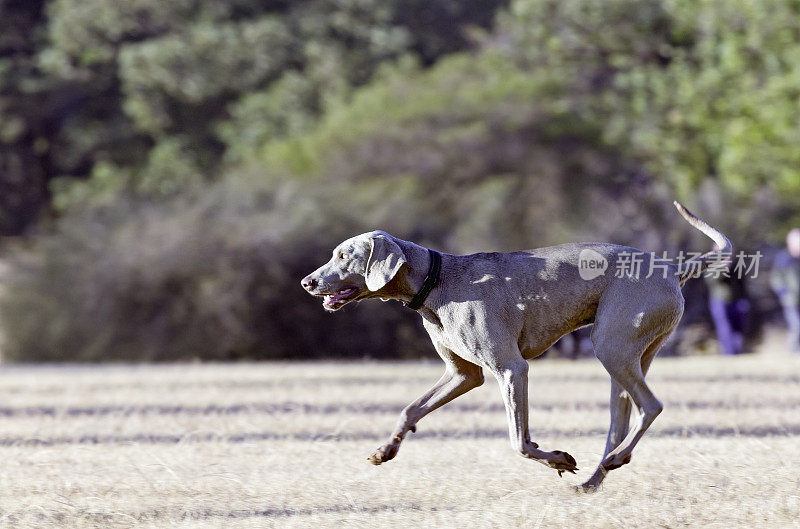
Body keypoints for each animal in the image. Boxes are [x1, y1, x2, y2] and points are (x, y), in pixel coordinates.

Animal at [300, 202, 732, 490]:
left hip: (610, 347)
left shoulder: (512, 369)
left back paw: (611, 462)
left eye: (343, 255)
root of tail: (671, 268)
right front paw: (384, 450)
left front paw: (558, 459)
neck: (436, 281)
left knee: (652, 406)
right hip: (626, 357)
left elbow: (519, 441)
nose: (307, 282)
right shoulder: (463, 375)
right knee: (621, 421)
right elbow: (410, 409)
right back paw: (596, 477)